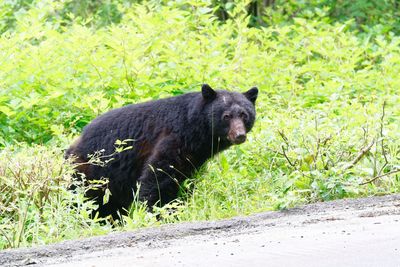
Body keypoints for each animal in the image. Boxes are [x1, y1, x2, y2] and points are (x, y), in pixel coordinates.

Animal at [65, 85, 258, 219]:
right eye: (226, 116)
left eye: (244, 115)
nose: (239, 135)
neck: (196, 129)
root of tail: (71, 147)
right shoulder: (173, 138)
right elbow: (157, 176)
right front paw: (159, 212)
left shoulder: (195, 156)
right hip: (89, 172)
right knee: (81, 199)